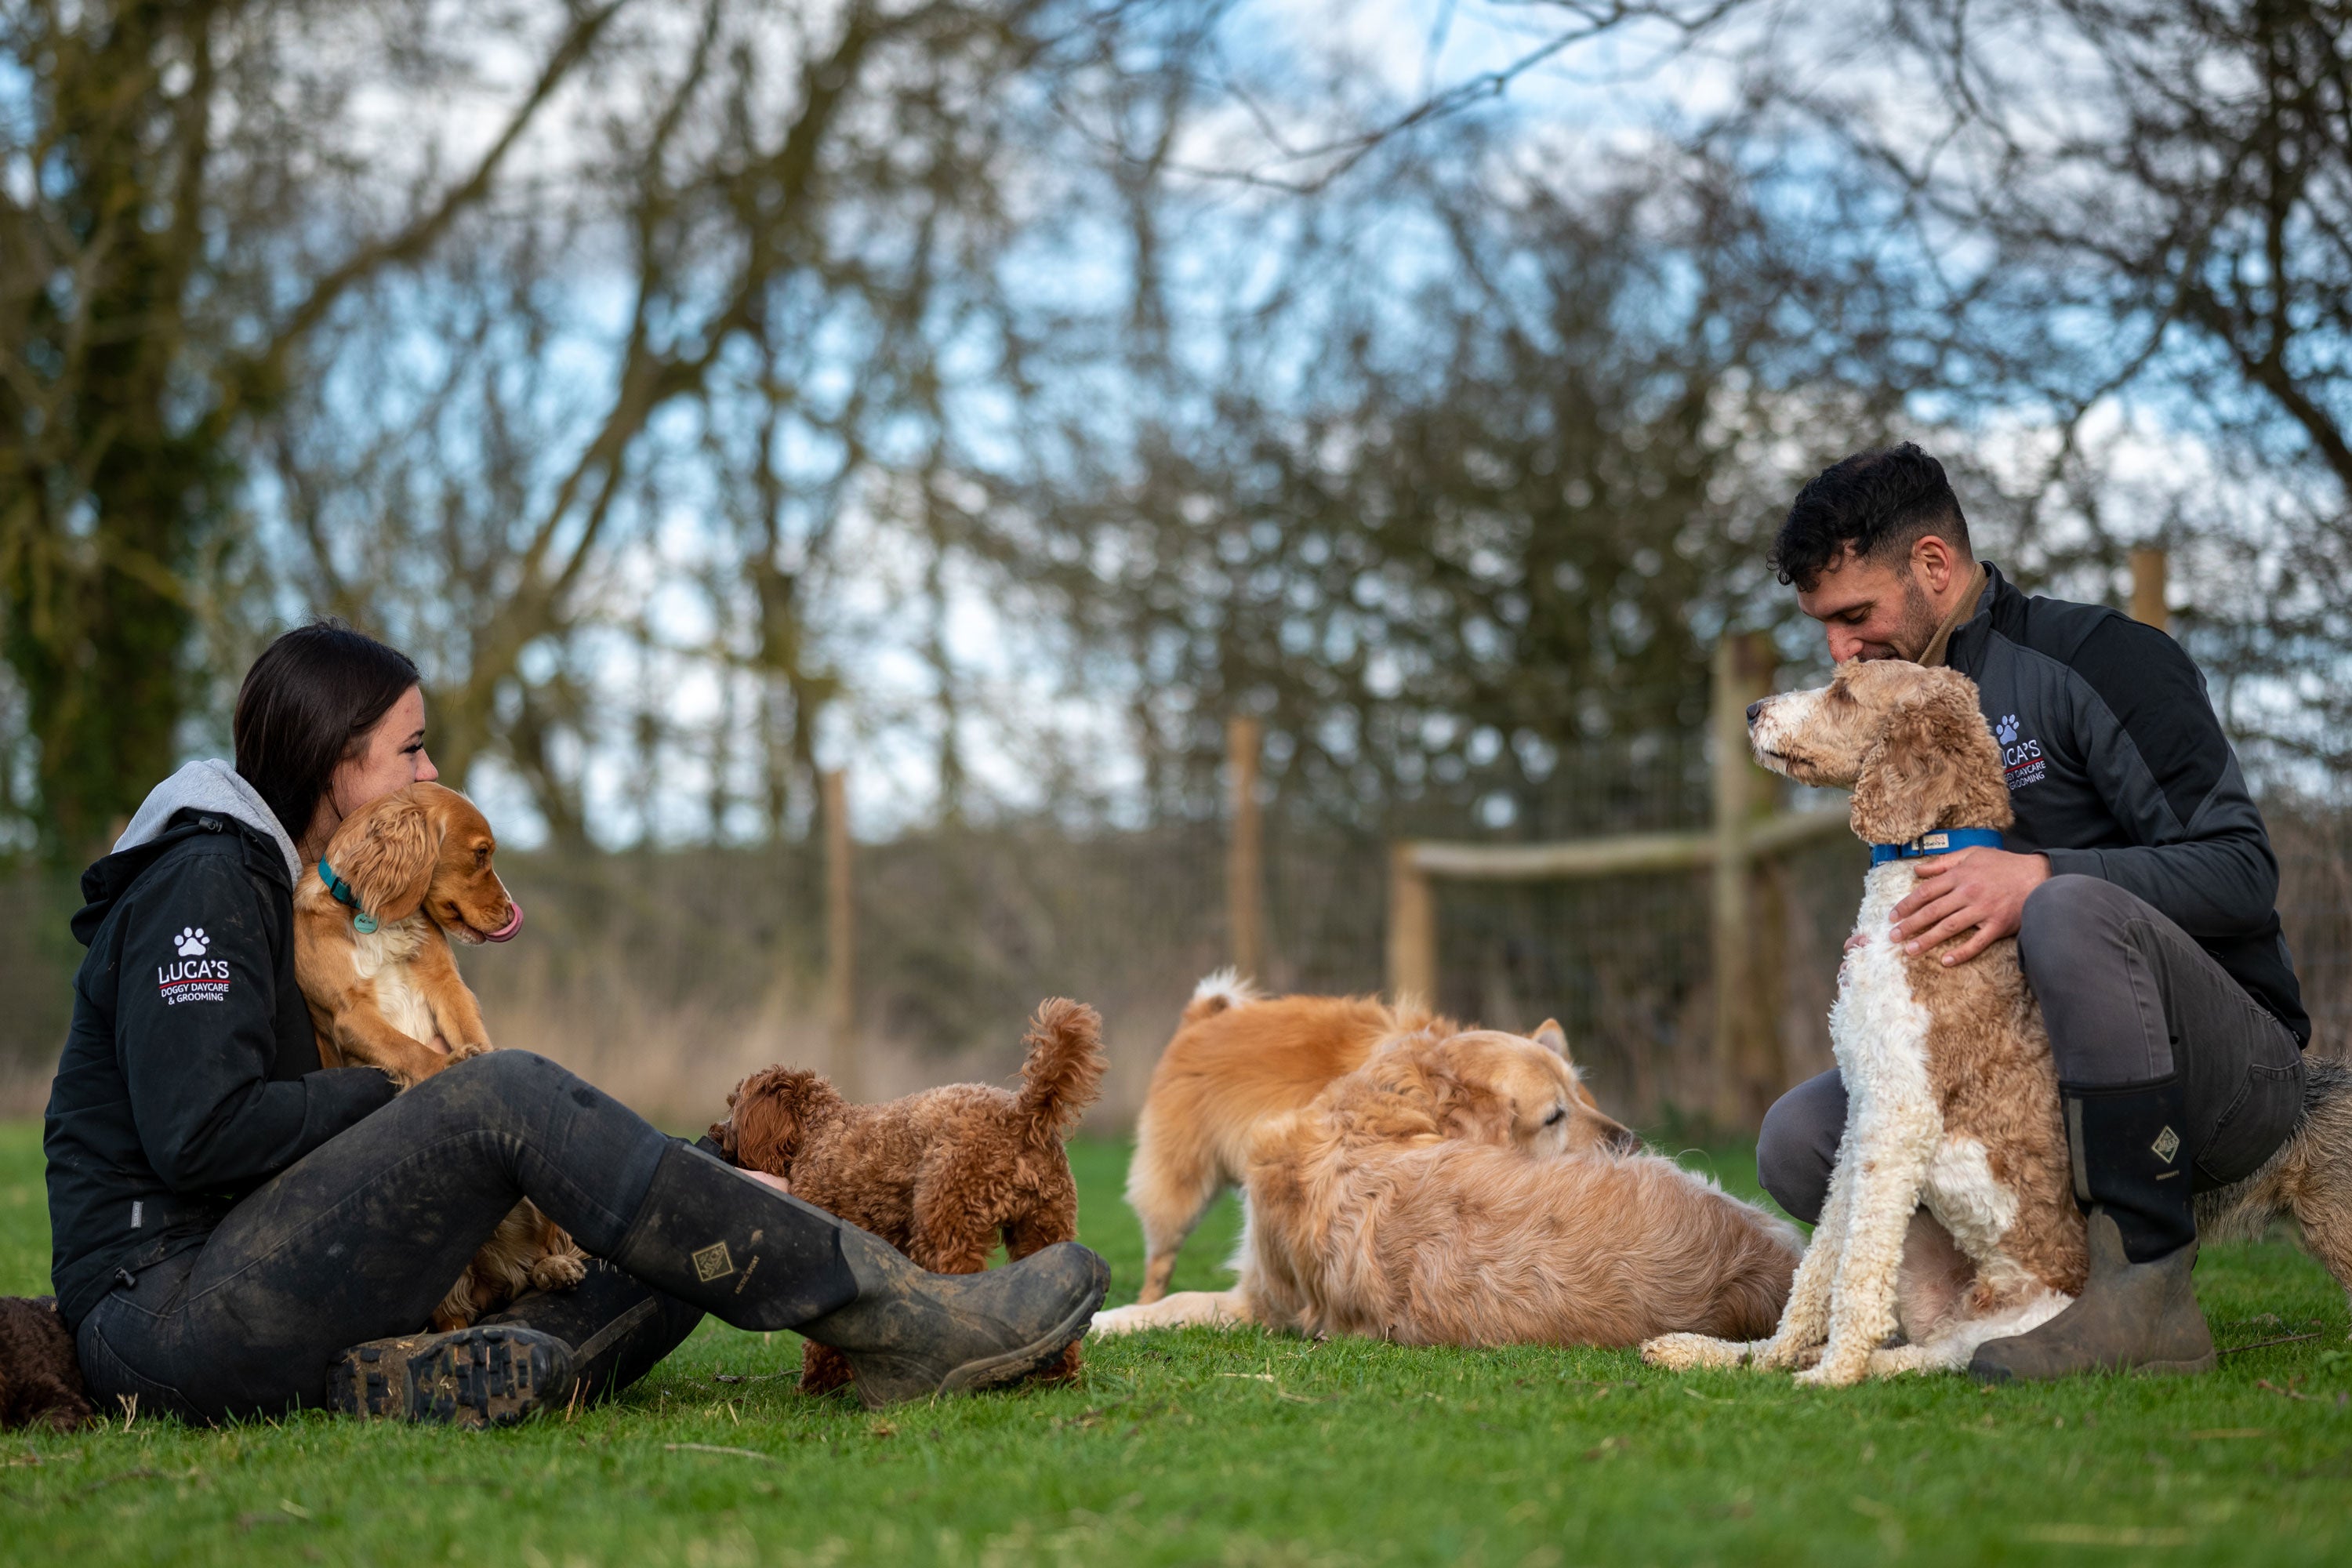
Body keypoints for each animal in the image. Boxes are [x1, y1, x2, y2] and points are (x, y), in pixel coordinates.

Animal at [710, 1001, 1105, 1392]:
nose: (714, 1133)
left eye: (733, 1106)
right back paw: (1054, 1373)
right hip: (1044, 1228)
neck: (818, 1129)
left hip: (946, 1227)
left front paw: (819, 1384)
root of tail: (1021, 1115)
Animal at [1091, 1029, 1788, 1354]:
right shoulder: (1263, 1298)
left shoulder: (1265, 1298)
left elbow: (1178, 1301)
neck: (1381, 1116)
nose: (1631, 1143)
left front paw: (1108, 1318)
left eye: (1580, 1092)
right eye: (1555, 1115)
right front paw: (1109, 1318)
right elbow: (1173, 1301)